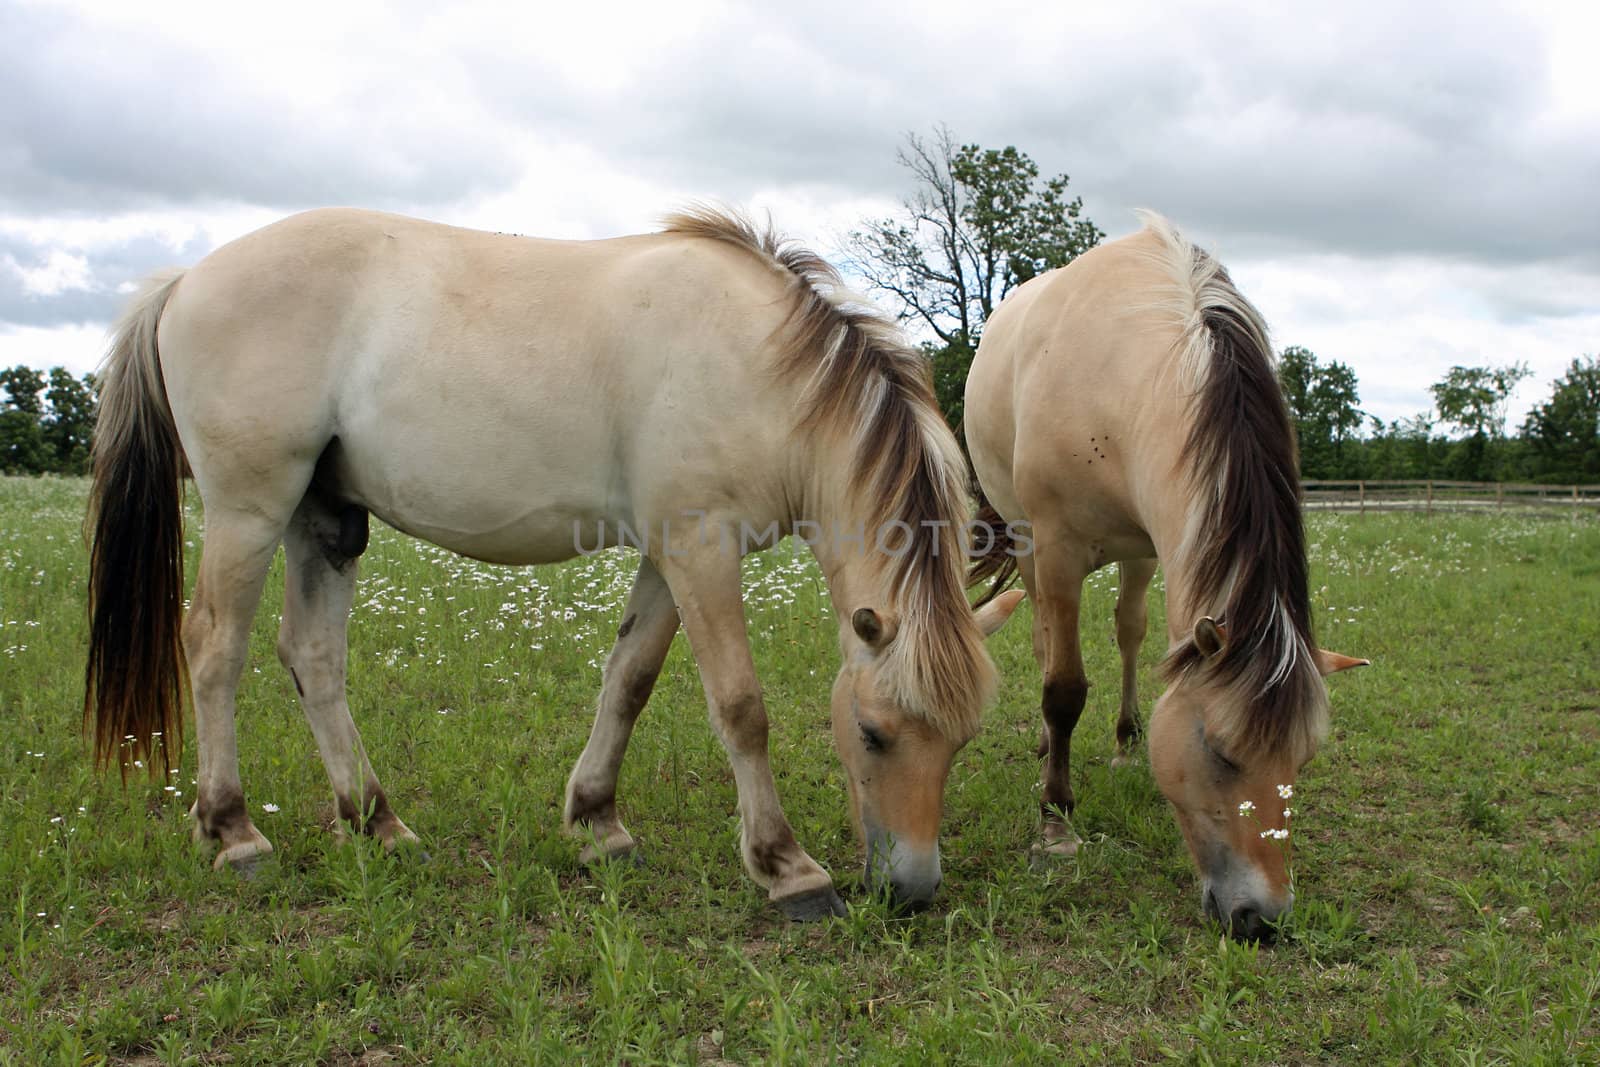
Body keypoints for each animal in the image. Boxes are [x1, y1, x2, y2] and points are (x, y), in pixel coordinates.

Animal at [81, 207, 1017, 921]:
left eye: (963, 737)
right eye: (874, 731)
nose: (913, 889)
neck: (762, 368)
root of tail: (186, 279)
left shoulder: (668, 557)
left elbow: (629, 679)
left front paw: (598, 822)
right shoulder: (701, 551)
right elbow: (740, 707)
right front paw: (786, 866)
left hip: (326, 519)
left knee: (313, 657)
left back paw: (378, 823)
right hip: (250, 509)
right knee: (214, 648)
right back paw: (234, 831)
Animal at [960, 212, 1363, 940]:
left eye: (1304, 761)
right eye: (1220, 752)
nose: (1263, 919)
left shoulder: (1152, 545)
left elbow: (1136, 638)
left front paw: (1126, 746)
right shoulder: (1057, 549)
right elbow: (1063, 688)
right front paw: (1055, 820)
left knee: (1124, 632)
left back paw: (1122, 742)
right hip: (1030, 548)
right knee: (1043, 639)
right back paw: (1046, 750)